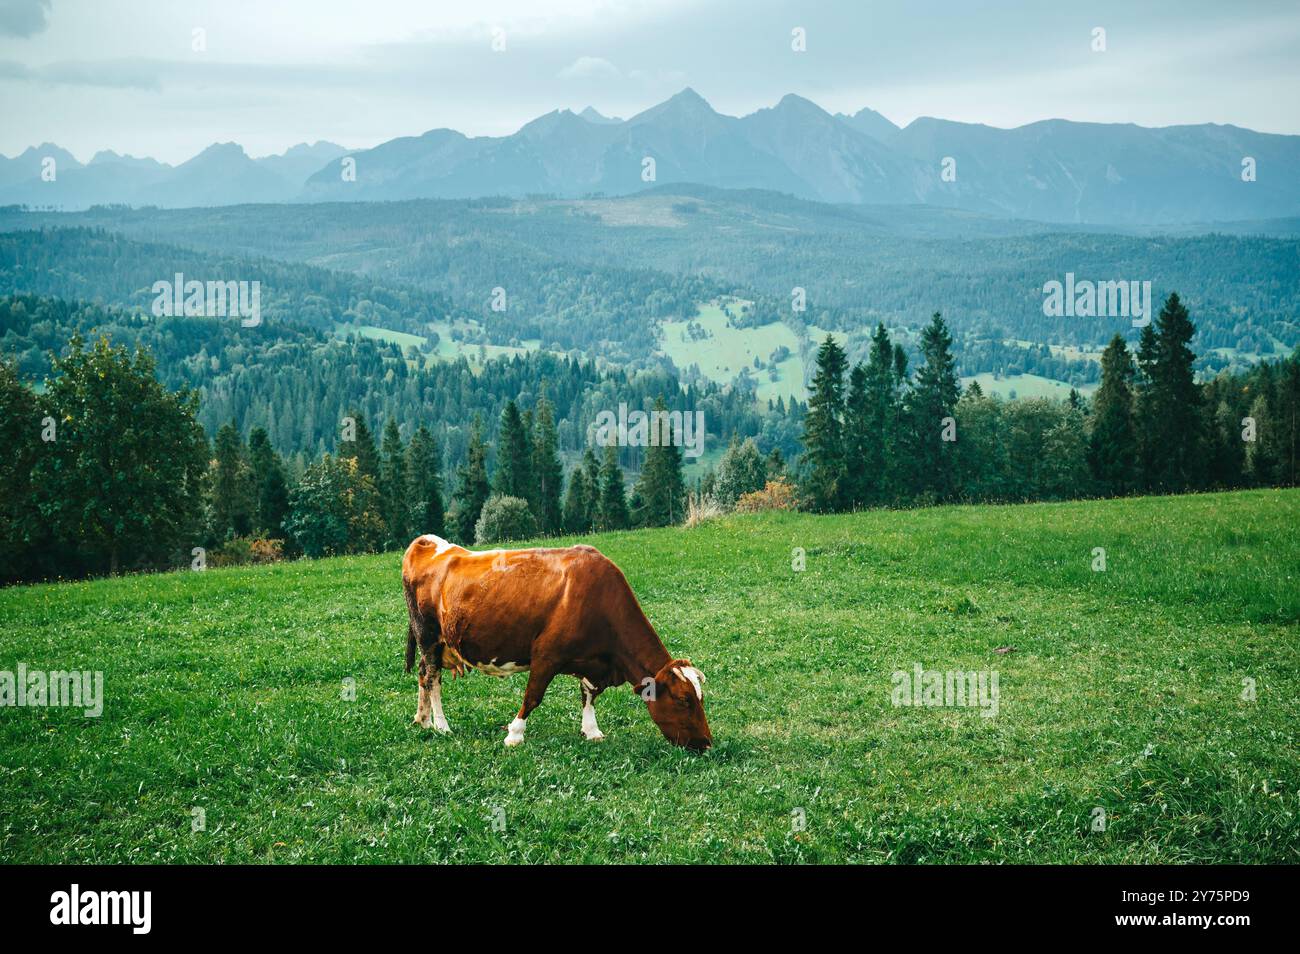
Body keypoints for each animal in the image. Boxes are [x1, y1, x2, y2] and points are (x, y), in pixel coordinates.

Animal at [403, 535, 717, 748]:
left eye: (700, 697)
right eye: (683, 699)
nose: (706, 742)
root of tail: (427, 542)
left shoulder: (594, 663)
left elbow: (589, 695)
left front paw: (591, 730)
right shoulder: (545, 655)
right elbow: (533, 696)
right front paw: (514, 734)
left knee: (423, 674)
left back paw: (423, 719)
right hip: (428, 635)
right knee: (433, 679)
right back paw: (442, 725)